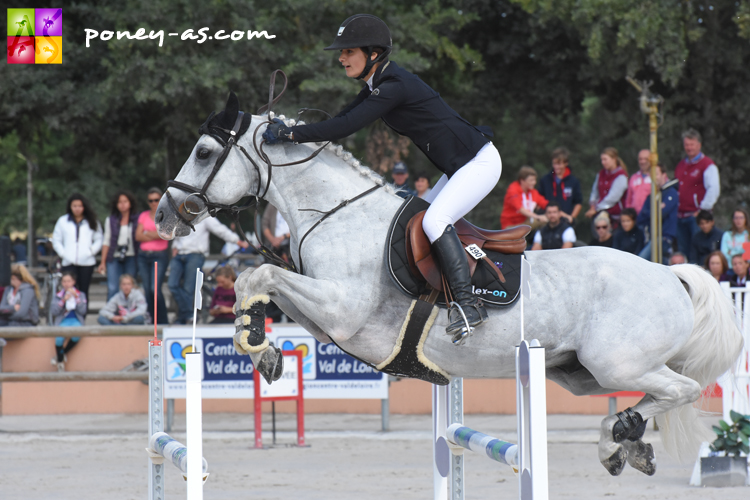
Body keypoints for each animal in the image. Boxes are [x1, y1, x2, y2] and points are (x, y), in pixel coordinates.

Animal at [157, 104, 748, 476]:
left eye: (204, 152)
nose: (164, 214)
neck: (337, 214)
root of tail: (671, 272)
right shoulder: (326, 318)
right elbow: (262, 281)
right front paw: (261, 343)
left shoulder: (343, 310)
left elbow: (261, 273)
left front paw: (259, 347)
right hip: (579, 373)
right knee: (647, 394)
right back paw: (623, 441)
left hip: (616, 362)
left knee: (683, 388)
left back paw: (622, 436)